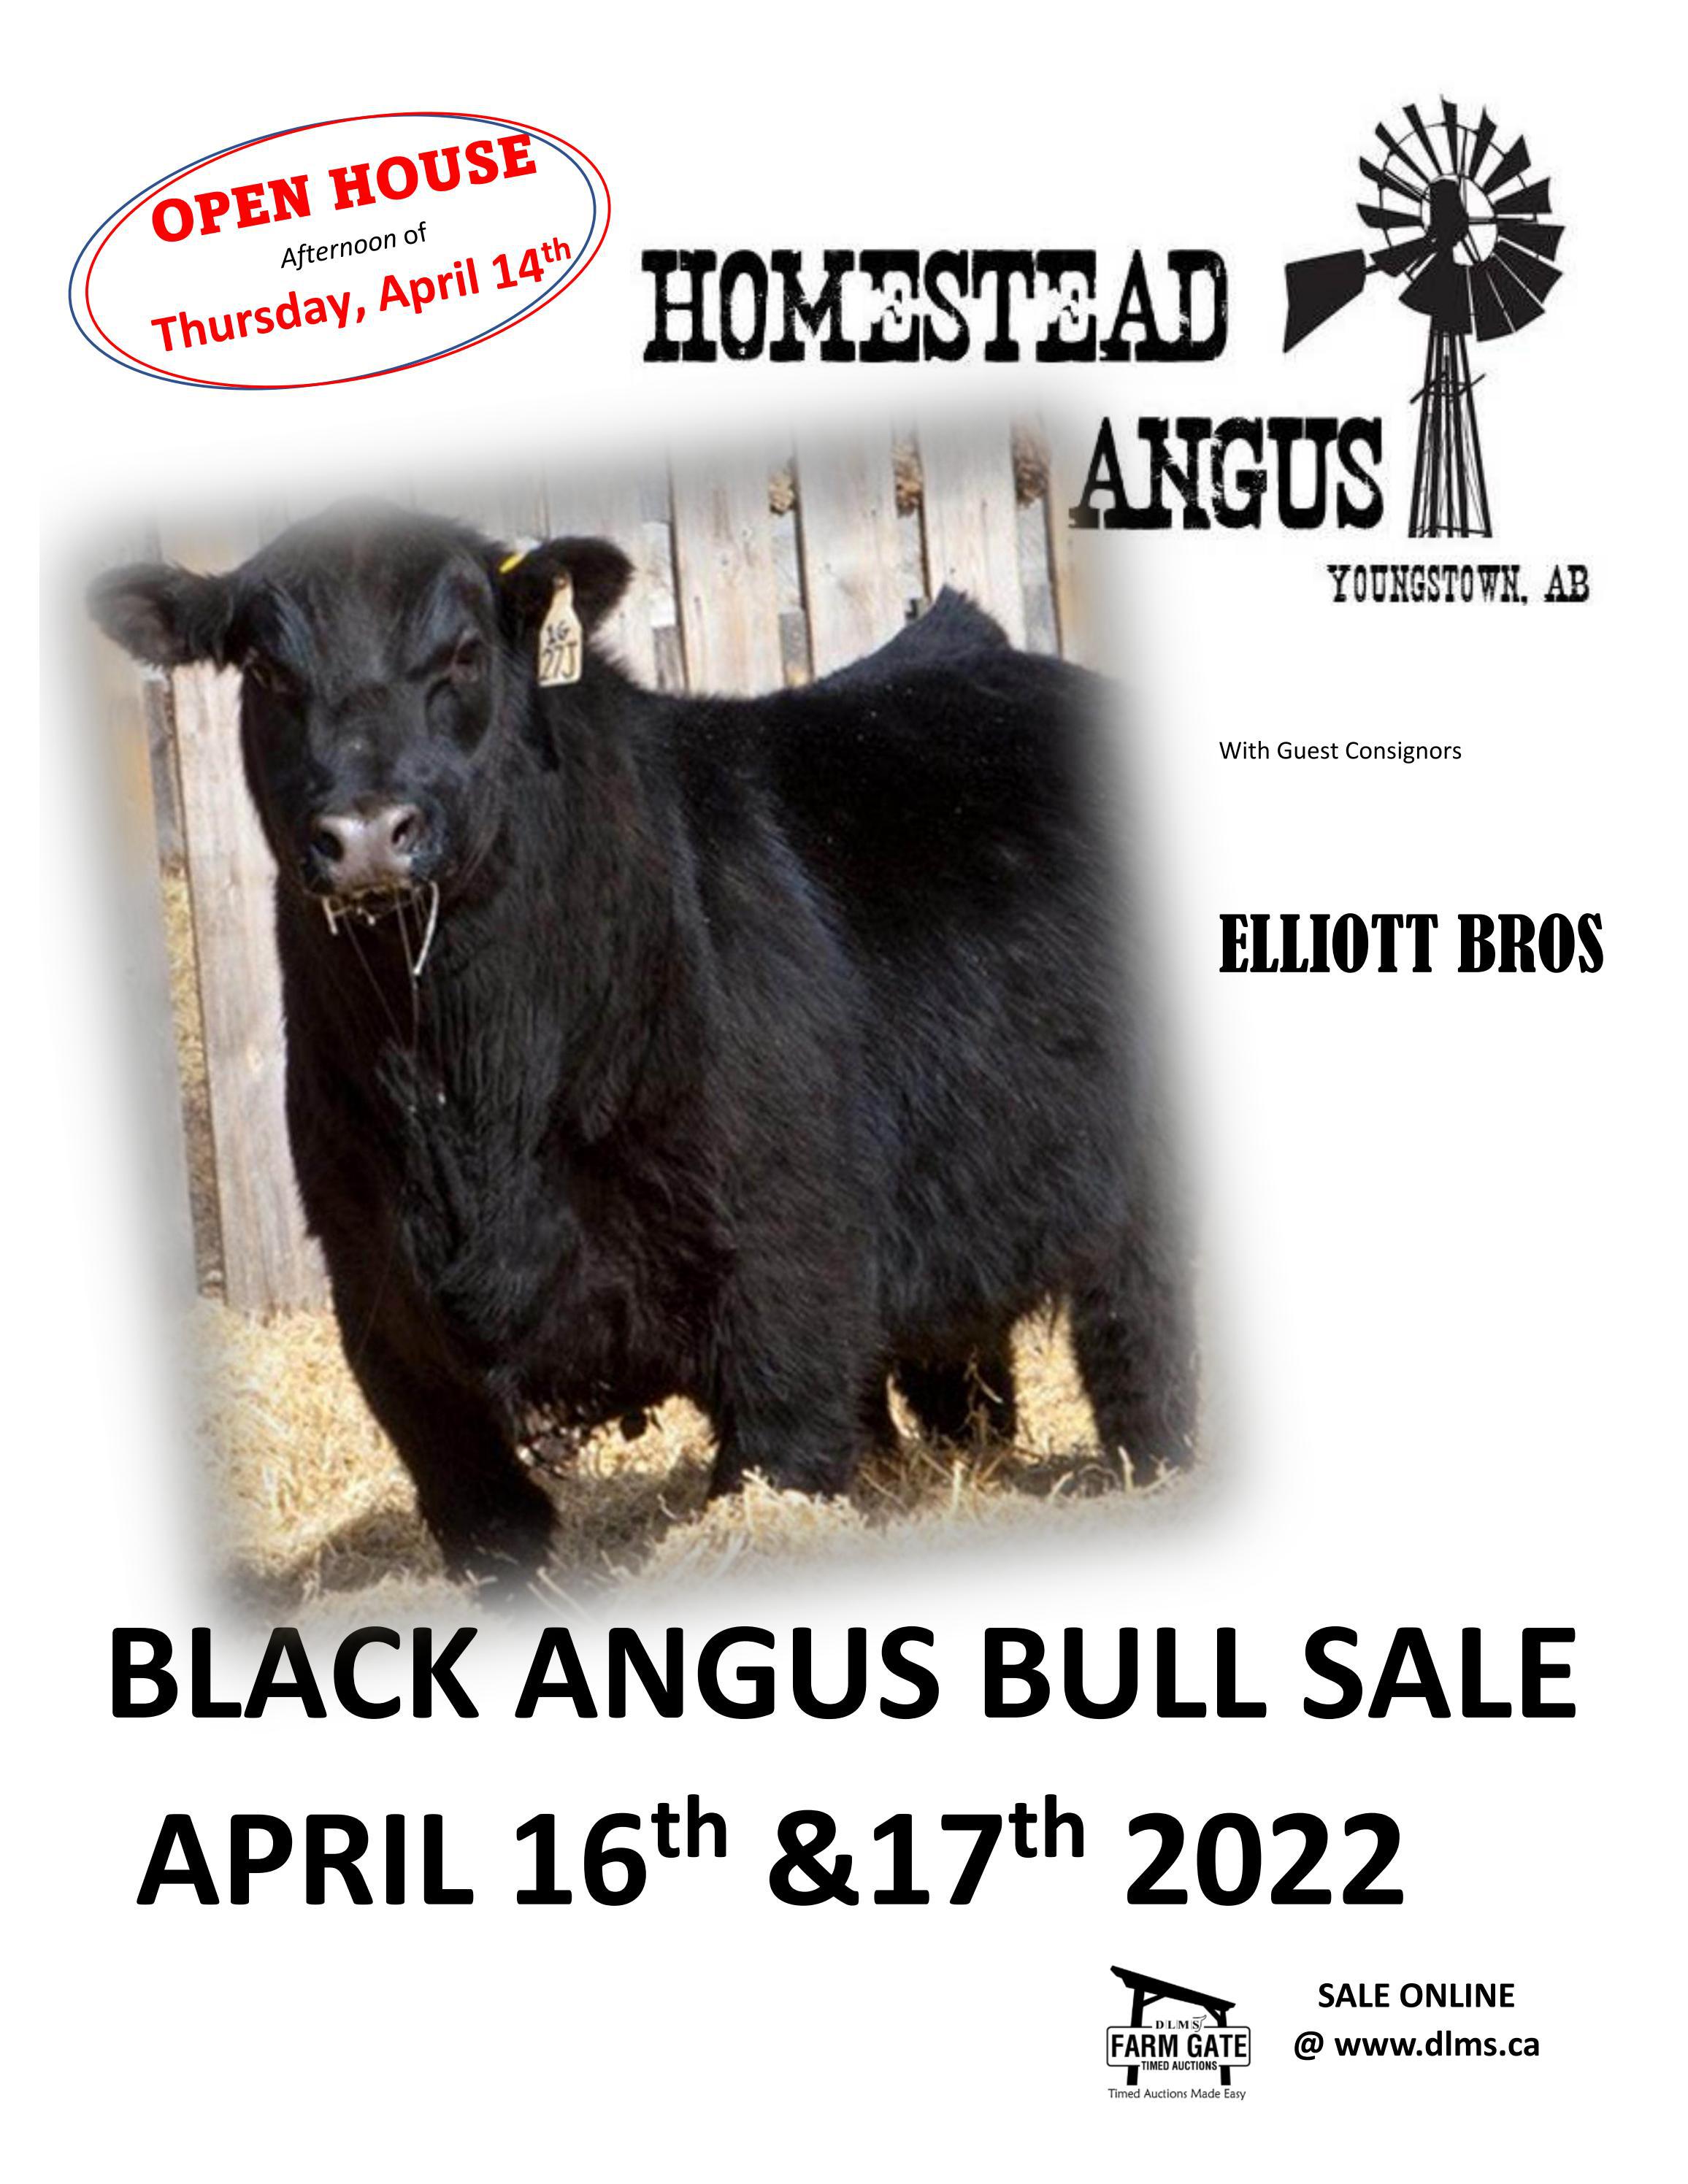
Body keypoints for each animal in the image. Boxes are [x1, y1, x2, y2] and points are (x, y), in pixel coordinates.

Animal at [91, 502, 1197, 1585]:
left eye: (462, 653)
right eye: (270, 673)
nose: (367, 832)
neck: (470, 1095)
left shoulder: (791, 1278)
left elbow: (780, 1458)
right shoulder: (385, 1309)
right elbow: (486, 1522)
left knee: (1141, 1345)